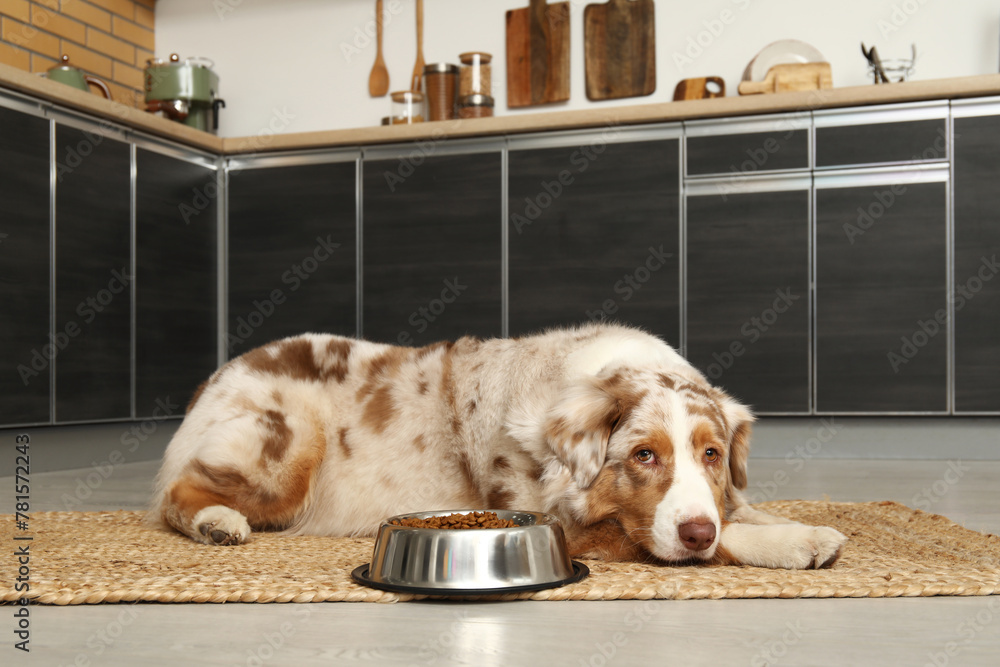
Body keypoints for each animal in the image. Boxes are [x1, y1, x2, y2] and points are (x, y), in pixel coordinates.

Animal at [152, 324, 848, 568]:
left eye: (711, 454)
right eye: (643, 455)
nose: (696, 530)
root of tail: (215, 376)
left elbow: (743, 511)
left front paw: (796, 525)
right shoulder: (571, 525)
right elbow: (710, 535)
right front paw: (794, 543)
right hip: (289, 444)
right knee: (173, 497)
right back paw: (218, 523)